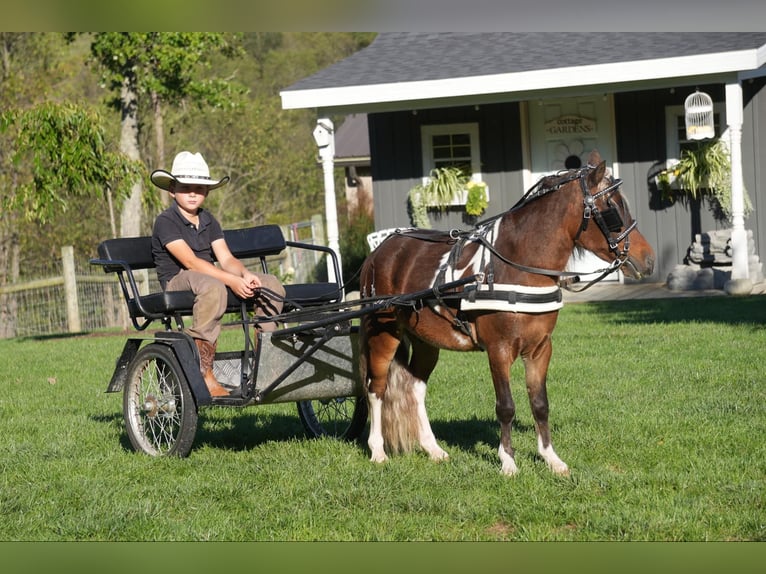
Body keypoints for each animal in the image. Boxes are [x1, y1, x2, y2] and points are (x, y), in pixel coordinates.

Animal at [358, 152, 656, 476]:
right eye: (612, 209)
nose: (649, 259)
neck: (516, 265)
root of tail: (379, 253)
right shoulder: (498, 350)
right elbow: (506, 406)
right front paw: (508, 461)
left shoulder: (540, 349)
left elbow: (540, 403)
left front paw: (551, 458)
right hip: (383, 334)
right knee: (376, 388)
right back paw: (377, 451)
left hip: (426, 341)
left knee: (415, 388)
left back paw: (433, 448)